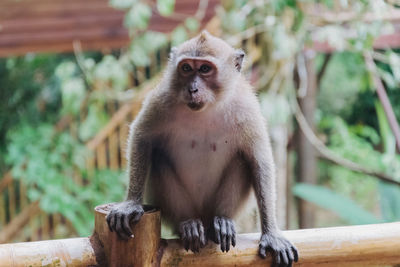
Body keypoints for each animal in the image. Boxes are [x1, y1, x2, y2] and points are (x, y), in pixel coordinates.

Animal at [106, 30, 296, 266]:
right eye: (187, 68)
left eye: (205, 69)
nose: (192, 88)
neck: (208, 108)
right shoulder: (163, 98)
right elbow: (142, 136)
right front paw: (131, 203)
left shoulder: (246, 108)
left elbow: (258, 160)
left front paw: (271, 234)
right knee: (159, 160)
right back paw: (188, 224)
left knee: (242, 161)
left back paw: (222, 222)